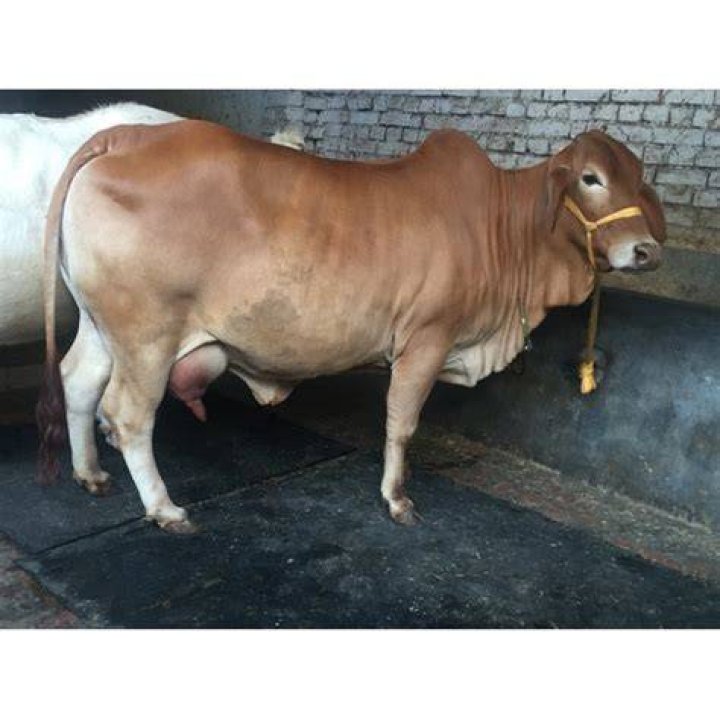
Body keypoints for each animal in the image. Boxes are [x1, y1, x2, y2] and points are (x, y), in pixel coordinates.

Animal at [37, 121, 665, 533]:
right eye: (590, 178)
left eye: (639, 176)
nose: (646, 251)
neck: (504, 230)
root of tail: (123, 136)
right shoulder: (426, 338)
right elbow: (402, 424)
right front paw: (396, 500)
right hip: (147, 335)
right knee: (127, 415)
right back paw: (165, 509)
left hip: (102, 327)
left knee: (78, 382)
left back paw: (90, 474)